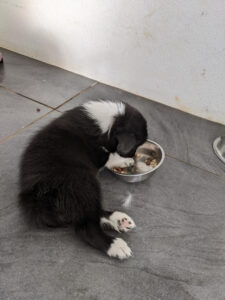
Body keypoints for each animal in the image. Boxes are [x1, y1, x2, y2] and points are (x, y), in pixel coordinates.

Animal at [18, 101, 147, 260]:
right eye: (137, 144)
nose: (132, 155)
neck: (108, 123)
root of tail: (37, 199)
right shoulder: (98, 154)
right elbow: (109, 157)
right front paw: (123, 160)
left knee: (90, 213)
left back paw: (119, 220)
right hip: (83, 183)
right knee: (86, 227)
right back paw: (115, 245)